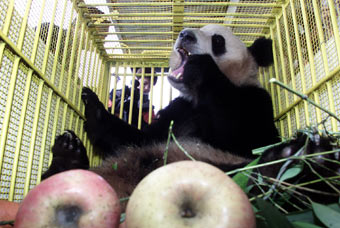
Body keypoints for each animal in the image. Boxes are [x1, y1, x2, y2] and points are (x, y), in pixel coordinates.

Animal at [42, 25, 340, 210]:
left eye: (218, 40)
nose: (185, 34)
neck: (197, 98)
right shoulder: (177, 110)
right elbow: (135, 138)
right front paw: (93, 105)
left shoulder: (254, 102)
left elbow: (249, 139)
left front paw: (202, 66)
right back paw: (67, 158)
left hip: (215, 171)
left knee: (247, 179)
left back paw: (300, 161)